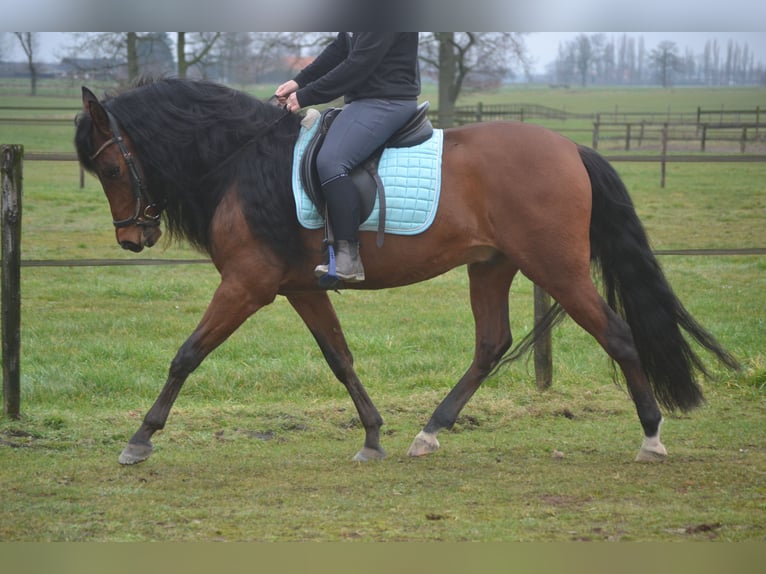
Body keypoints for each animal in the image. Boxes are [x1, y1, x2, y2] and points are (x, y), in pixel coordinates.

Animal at [74, 77, 738, 466]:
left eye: (110, 168)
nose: (132, 238)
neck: (243, 161)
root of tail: (570, 147)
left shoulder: (247, 285)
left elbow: (187, 354)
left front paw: (140, 439)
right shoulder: (299, 288)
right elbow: (340, 358)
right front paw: (372, 436)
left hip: (557, 267)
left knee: (617, 336)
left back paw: (651, 437)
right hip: (492, 267)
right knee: (490, 345)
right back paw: (431, 431)